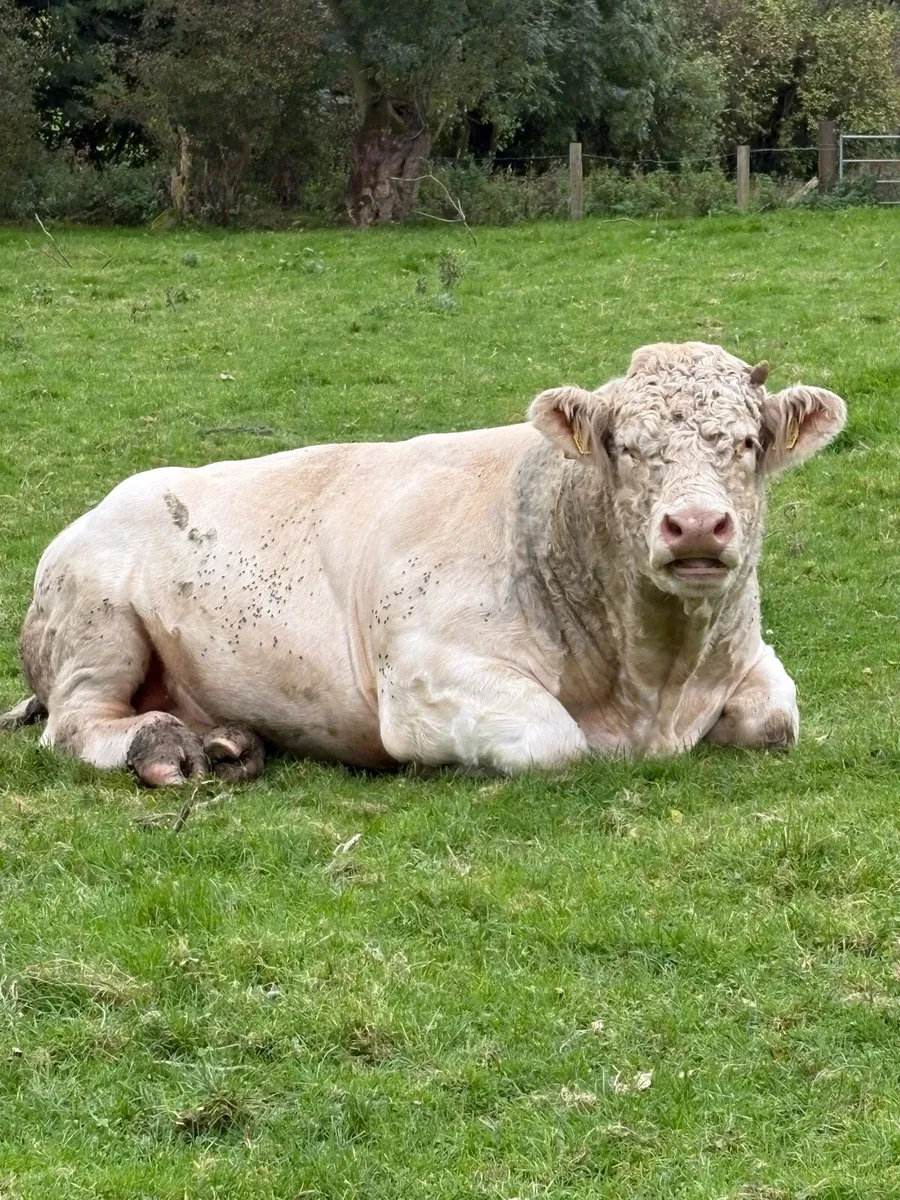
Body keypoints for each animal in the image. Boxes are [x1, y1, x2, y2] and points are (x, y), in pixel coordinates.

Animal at [0, 342, 845, 784]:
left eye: (745, 441)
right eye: (626, 447)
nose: (696, 526)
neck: (652, 680)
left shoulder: (750, 655)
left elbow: (777, 717)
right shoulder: (423, 675)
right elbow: (558, 741)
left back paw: (227, 742)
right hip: (96, 626)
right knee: (75, 724)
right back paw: (160, 748)